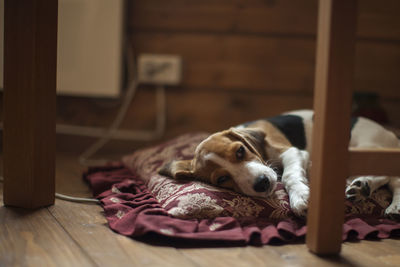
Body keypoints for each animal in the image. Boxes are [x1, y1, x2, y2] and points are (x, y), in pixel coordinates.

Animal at [159, 110, 400, 219]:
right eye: (222, 178)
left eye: (240, 151)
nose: (262, 183)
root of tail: (391, 136)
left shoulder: (291, 151)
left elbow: (289, 175)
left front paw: (301, 197)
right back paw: (371, 193)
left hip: (364, 148)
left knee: (388, 175)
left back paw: (364, 185)